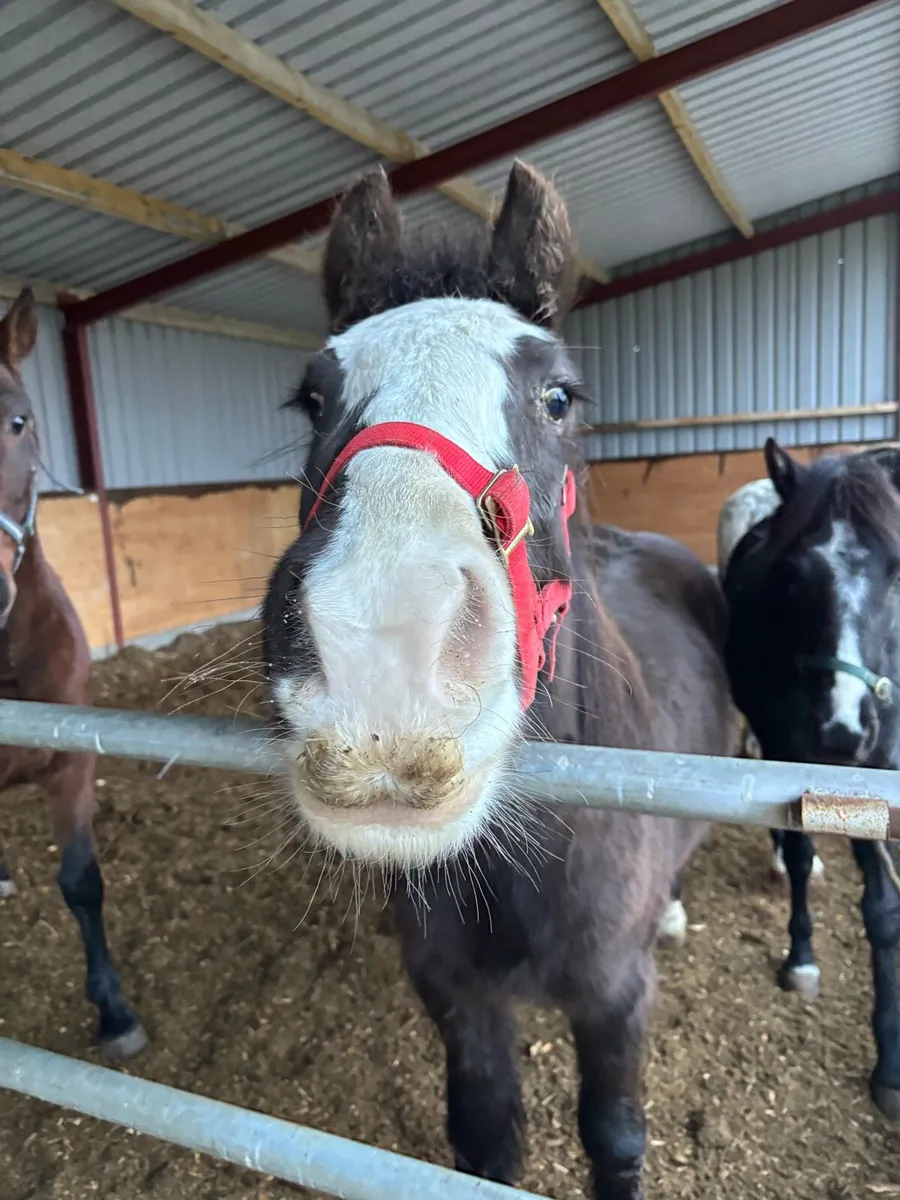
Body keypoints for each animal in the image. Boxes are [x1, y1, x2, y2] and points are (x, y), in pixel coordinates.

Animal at [260, 161, 737, 1198]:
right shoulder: (457, 1001)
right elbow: (485, 1139)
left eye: (559, 396)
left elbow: (615, 1138)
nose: (381, 641)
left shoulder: (618, 1001)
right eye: (312, 397)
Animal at [721, 437, 900, 1121]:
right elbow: (803, 853)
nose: (844, 729)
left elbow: (883, 907)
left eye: (897, 568)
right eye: (793, 575)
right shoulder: (794, 749)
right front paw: (801, 959)